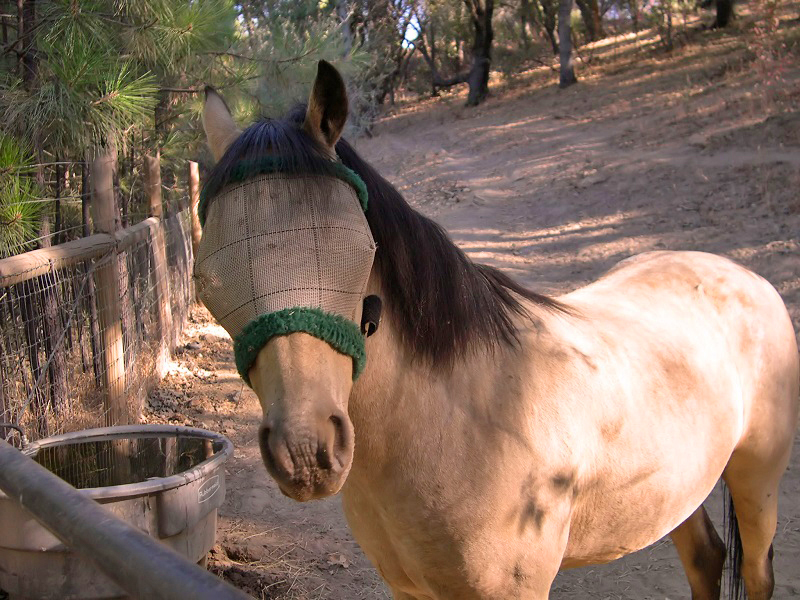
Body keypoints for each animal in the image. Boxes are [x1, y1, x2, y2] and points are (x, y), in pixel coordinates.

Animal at [195, 61, 799, 599]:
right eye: (207, 279)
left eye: (360, 248)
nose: (305, 451)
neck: (464, 417)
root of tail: (743, 274)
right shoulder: (410, 591)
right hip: (678, 491)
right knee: (706, 559)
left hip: (758, 482)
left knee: (756, 573)